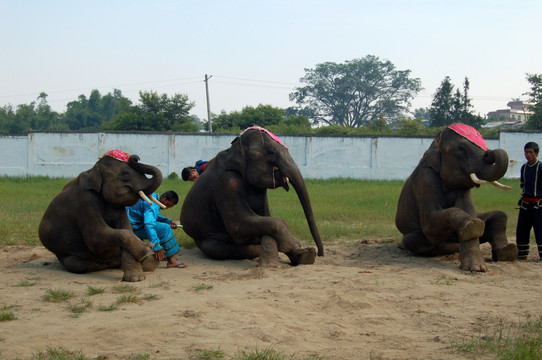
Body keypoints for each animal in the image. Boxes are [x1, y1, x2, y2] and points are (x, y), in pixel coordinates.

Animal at [38, 149, 164, 282]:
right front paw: (146, 250)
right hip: (65, 253)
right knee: (76, 264)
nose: (135, 158)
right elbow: (95, 238)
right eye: (125, 173)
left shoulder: (120, 208)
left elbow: (126, 229)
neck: (93, 169)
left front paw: (137, 277)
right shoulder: (84, 203)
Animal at [181, 126, 326, 264]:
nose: (321, 254)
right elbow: (239, 225)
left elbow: (266, 216)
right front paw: (295, 244)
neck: (232, 149)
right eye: (271, 152)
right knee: (223, 248)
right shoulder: (226, 184)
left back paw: (307, 256)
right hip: (205, 239)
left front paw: (300, 251)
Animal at [398, 122, 520, 272]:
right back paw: (451, 247)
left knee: (499, 215)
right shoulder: (424, 180)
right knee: (412, 239)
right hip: (411, 238)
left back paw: (508, 252)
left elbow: (469, 212)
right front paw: (472, 225)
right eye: (461, 149)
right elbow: (430, 223)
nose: (489, 153)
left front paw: (477, 268)